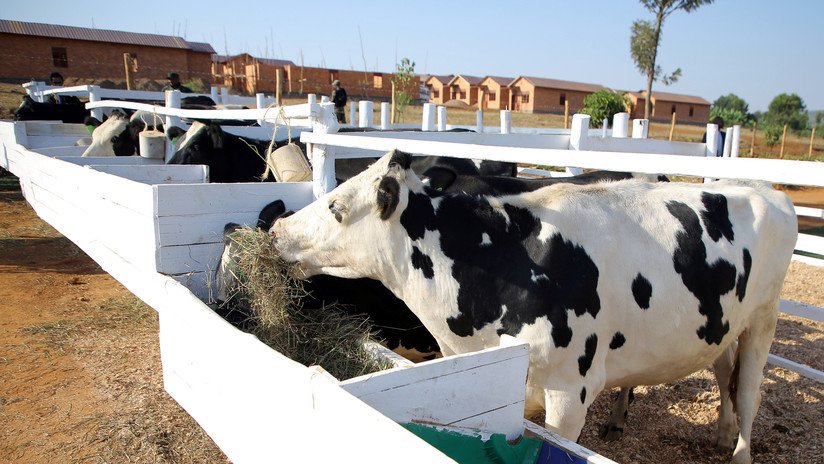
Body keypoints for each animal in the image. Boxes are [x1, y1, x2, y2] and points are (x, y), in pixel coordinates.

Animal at [269, 150, 797, 464]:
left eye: (336, 206)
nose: (275, 229)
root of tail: (763, 189)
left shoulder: (569, 392)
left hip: (765, 319)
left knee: (749, 391)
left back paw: (739, 451)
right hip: (725, 322)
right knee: (722, 369)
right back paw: (717, 432)